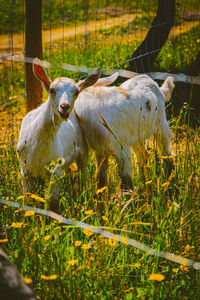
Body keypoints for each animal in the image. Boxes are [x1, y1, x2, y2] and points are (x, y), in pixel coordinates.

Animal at [16, 58, 101, 212]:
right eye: (52, 90)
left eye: (76, 92)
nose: (64, 107)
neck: (36, 142)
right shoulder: (24, 170)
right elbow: (27, 200)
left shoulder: (55, 172)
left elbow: (53, 204)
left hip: (82, 150)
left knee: (84, 174)